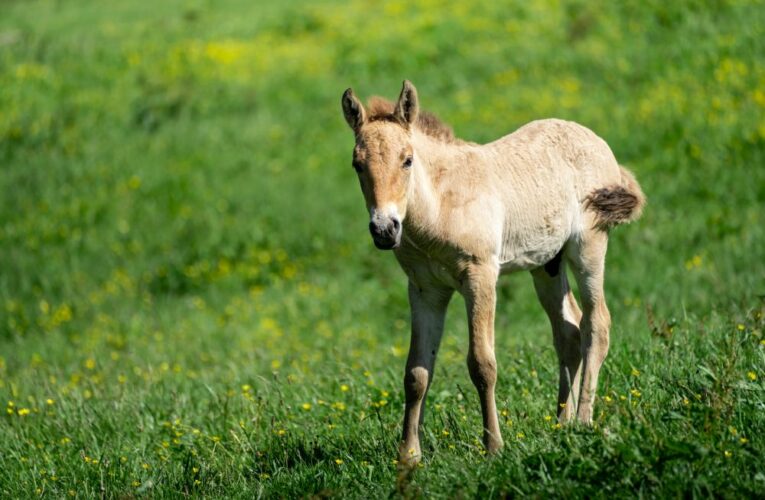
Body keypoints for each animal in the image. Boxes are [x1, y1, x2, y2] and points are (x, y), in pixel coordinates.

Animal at [340, 80, 644, 462]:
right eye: (357, 164)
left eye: (407, 160)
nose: (384, 229)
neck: (441, 206)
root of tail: (598, 142)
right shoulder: (425, 289)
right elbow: (417, 372)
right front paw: (409, 455)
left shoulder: (480, 277)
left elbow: (482, 364)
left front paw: (494, 447)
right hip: (547, 263)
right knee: (568, 330)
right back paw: (562, 423)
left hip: (589, 245)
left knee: (596, 323)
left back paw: (584, 420)